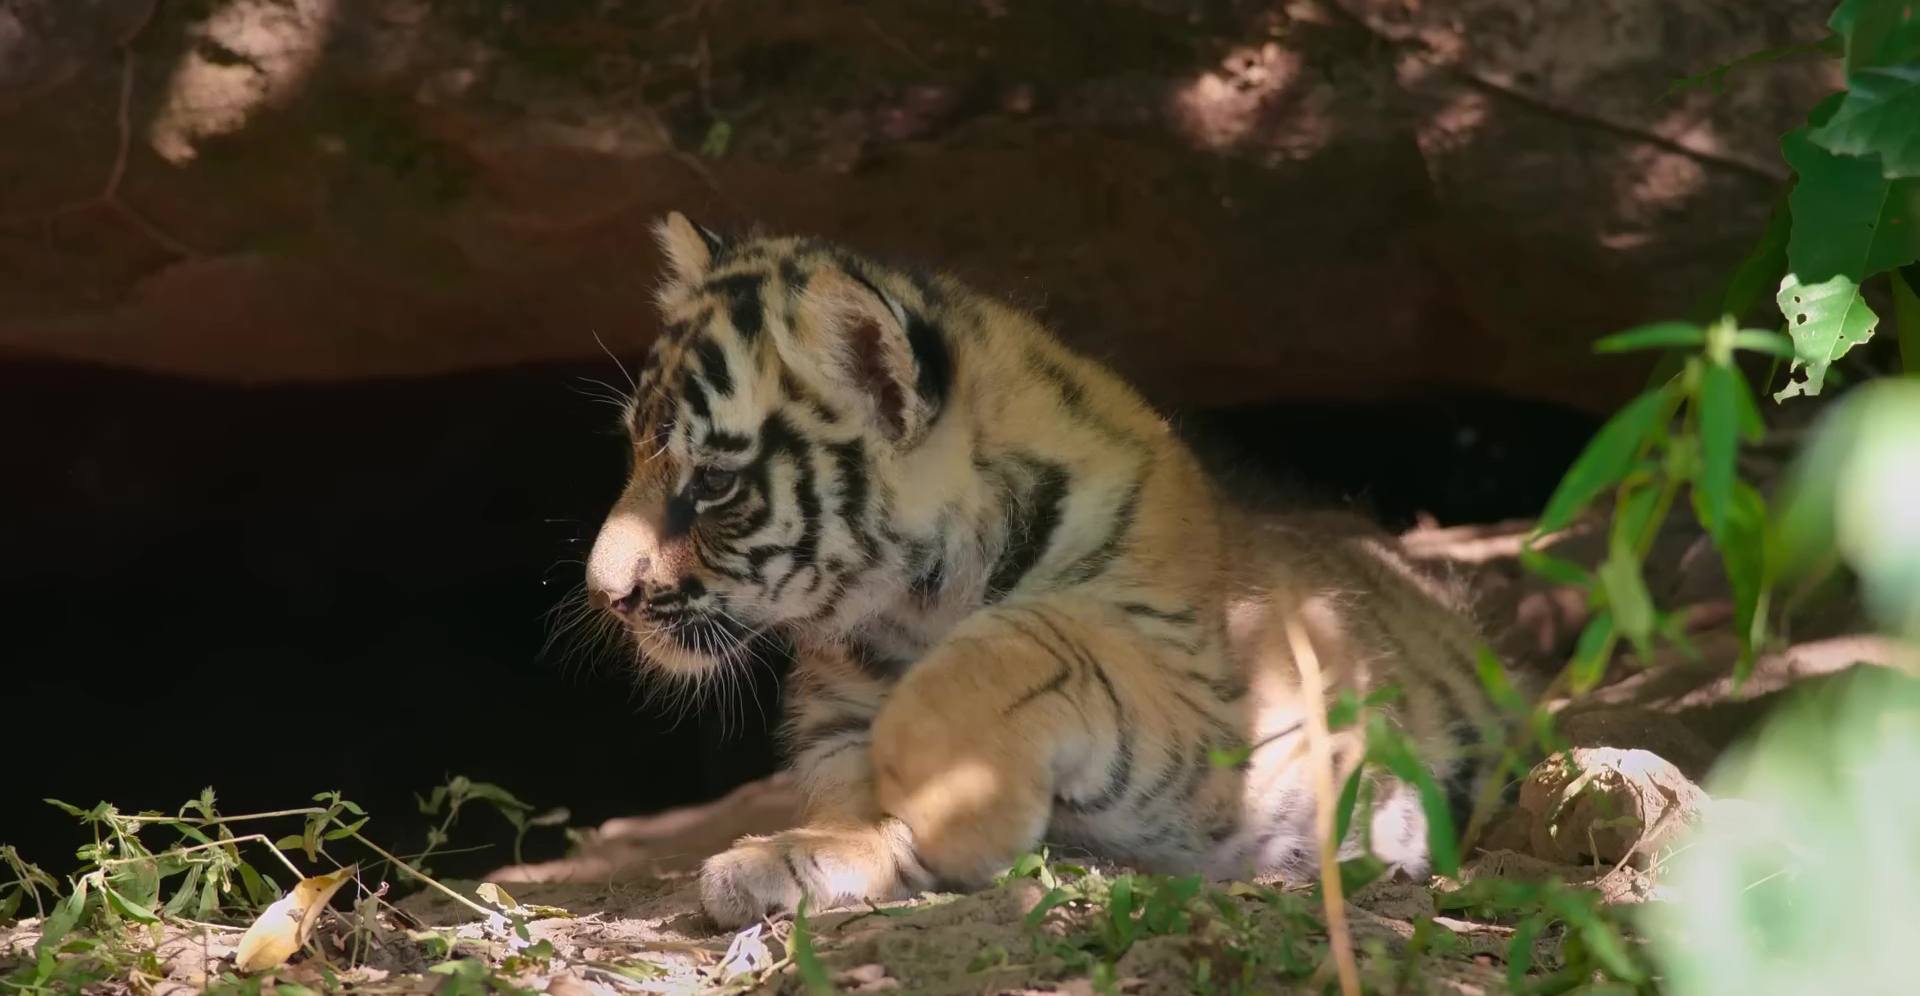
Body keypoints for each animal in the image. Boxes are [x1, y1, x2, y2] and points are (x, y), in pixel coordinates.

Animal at [584, 212, 1508, 928]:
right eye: (633, 447)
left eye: (713, 482)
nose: (607, 593)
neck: (914, 605)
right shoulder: (841, 718)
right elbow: (852, 797)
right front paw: (790, 856)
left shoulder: (1223, 704)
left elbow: (1027, 642)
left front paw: (955, 812)